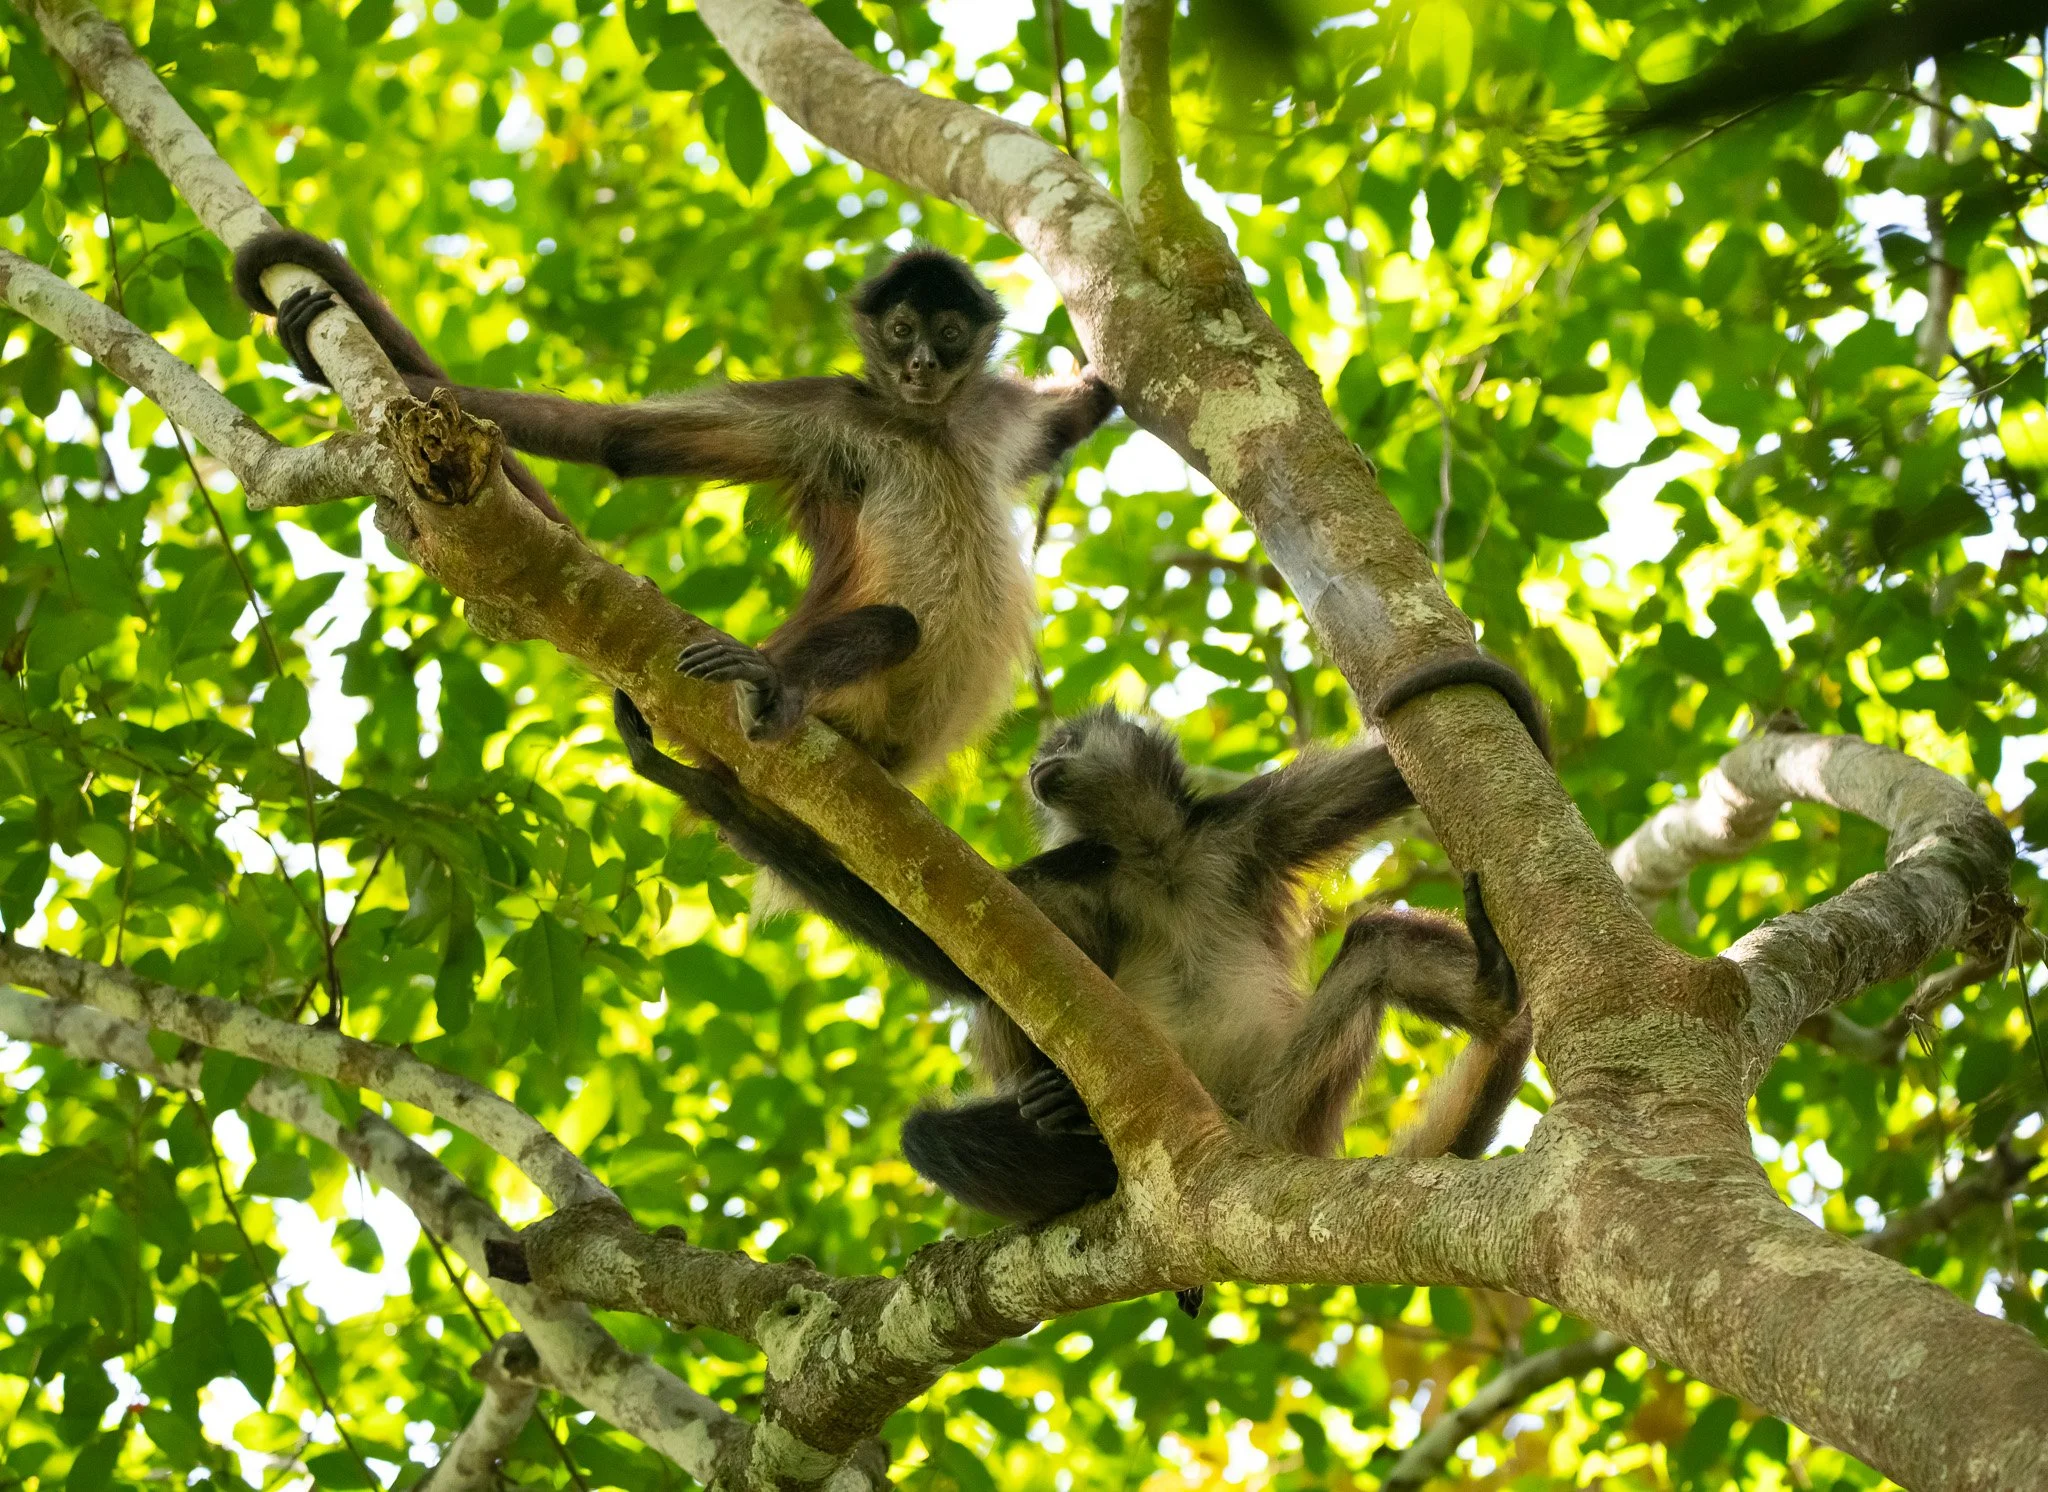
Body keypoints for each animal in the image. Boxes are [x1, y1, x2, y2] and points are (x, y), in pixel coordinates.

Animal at [234, 233, 1119, 791]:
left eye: (949, 331)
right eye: (902, 330)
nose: (923, 364)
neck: (922, 425)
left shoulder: (990, 413)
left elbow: (1074, 414)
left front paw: (1102, 372)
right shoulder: (826, 414)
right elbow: (619, 439)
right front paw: (338, 371)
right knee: (895, 626)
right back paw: (773, 682)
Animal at [612, 654, 1546, 1263]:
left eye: (1061, 746)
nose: (1038, 766)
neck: (1152, 853)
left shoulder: (1248, 823)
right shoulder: (1080, 872)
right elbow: (963, 957)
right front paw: (695, 780)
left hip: (1284, 1103)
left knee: (1377, 948)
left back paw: (1494, 993)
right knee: (931, 1130)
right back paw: (1070, 1124)